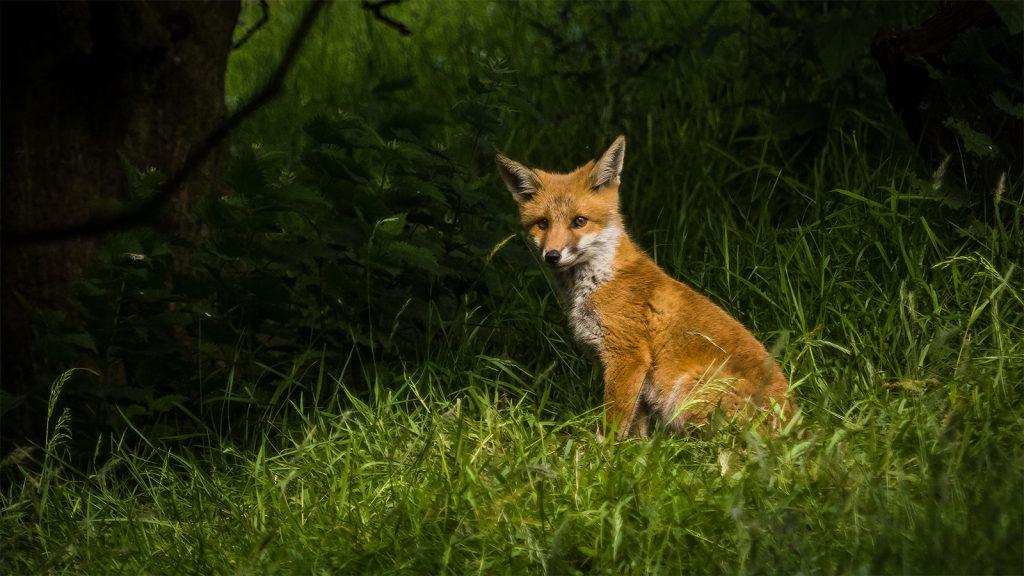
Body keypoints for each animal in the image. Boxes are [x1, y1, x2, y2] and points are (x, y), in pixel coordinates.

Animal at [496, 135, 793, 439]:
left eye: (579, 221)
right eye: (543, 223)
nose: (552, 256)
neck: (599, 282)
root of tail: (791, 425)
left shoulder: (628, 356)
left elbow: (614, 420)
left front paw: (601, 449)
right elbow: (636, 427)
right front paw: (635, 448)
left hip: (685, 393)